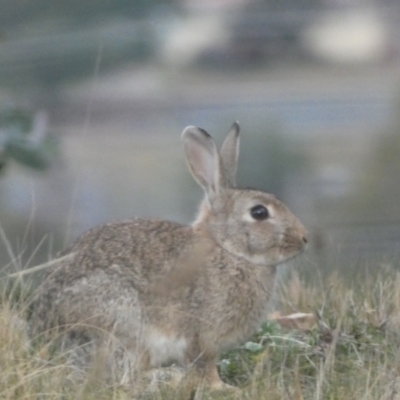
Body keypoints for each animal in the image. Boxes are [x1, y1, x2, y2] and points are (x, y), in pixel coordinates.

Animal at [29, 122, 308, 390]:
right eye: (259, 212)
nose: (304, 238)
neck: (228, 249)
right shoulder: (201, 335)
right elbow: (205, 365)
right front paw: (223, 388)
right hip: (122, 317)